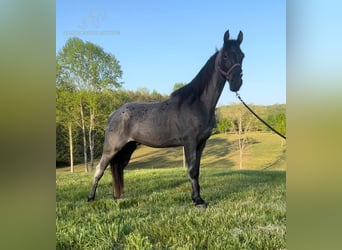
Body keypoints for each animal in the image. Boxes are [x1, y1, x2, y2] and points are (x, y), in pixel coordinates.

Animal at [87, 30, 244, 208]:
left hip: (127, 149)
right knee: (99, 169)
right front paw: (198, 201)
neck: (197, 102)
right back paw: (91, 198)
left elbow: (197, 170)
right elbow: (192, 170)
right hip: (112, 148)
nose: (236, 82)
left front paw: (198, 198)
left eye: (242, 55)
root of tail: (113, 115)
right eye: (225, 56)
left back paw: (116, 198)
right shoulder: (190, 142)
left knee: (118, 168)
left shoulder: (201, 144)